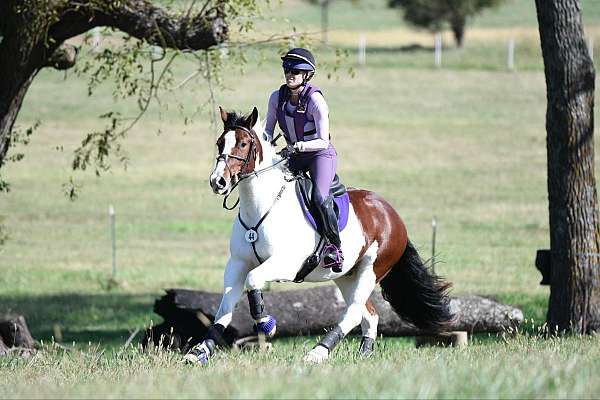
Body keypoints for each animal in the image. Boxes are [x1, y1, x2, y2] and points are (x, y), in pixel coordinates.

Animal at [185, 107, 452, 366]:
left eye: (242, 144)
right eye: (220, 143)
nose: (218, 182)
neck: (261, 207)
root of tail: (392, 214)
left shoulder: (287, 263)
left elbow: (253, 280)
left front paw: (266, 324)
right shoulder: (238, 263)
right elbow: (225, 308)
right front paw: (199, 352)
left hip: (372, 269)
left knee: (353, 313)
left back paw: (318, 352)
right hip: (347, 275)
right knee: (368, 314)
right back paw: (364, 353)